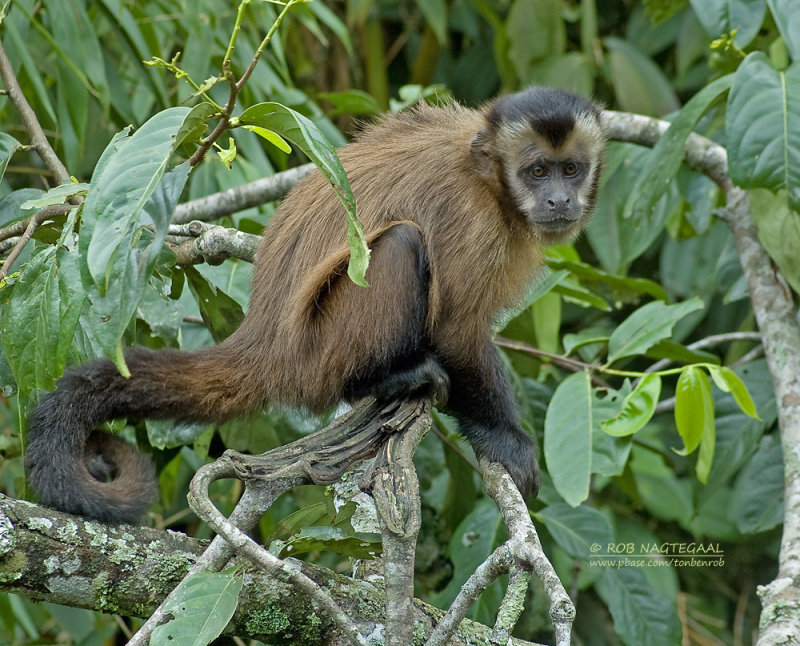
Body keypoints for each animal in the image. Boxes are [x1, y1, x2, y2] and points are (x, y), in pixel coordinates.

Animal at [23, 87, 608, 528]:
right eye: (537, 172)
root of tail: (264, 340)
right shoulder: (474, 221)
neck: (493, 188)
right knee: (401, 245)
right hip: (319, 350)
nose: (559, 199)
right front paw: (504, 440)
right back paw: (382, 378)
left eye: (571, 170)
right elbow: (457, 334)